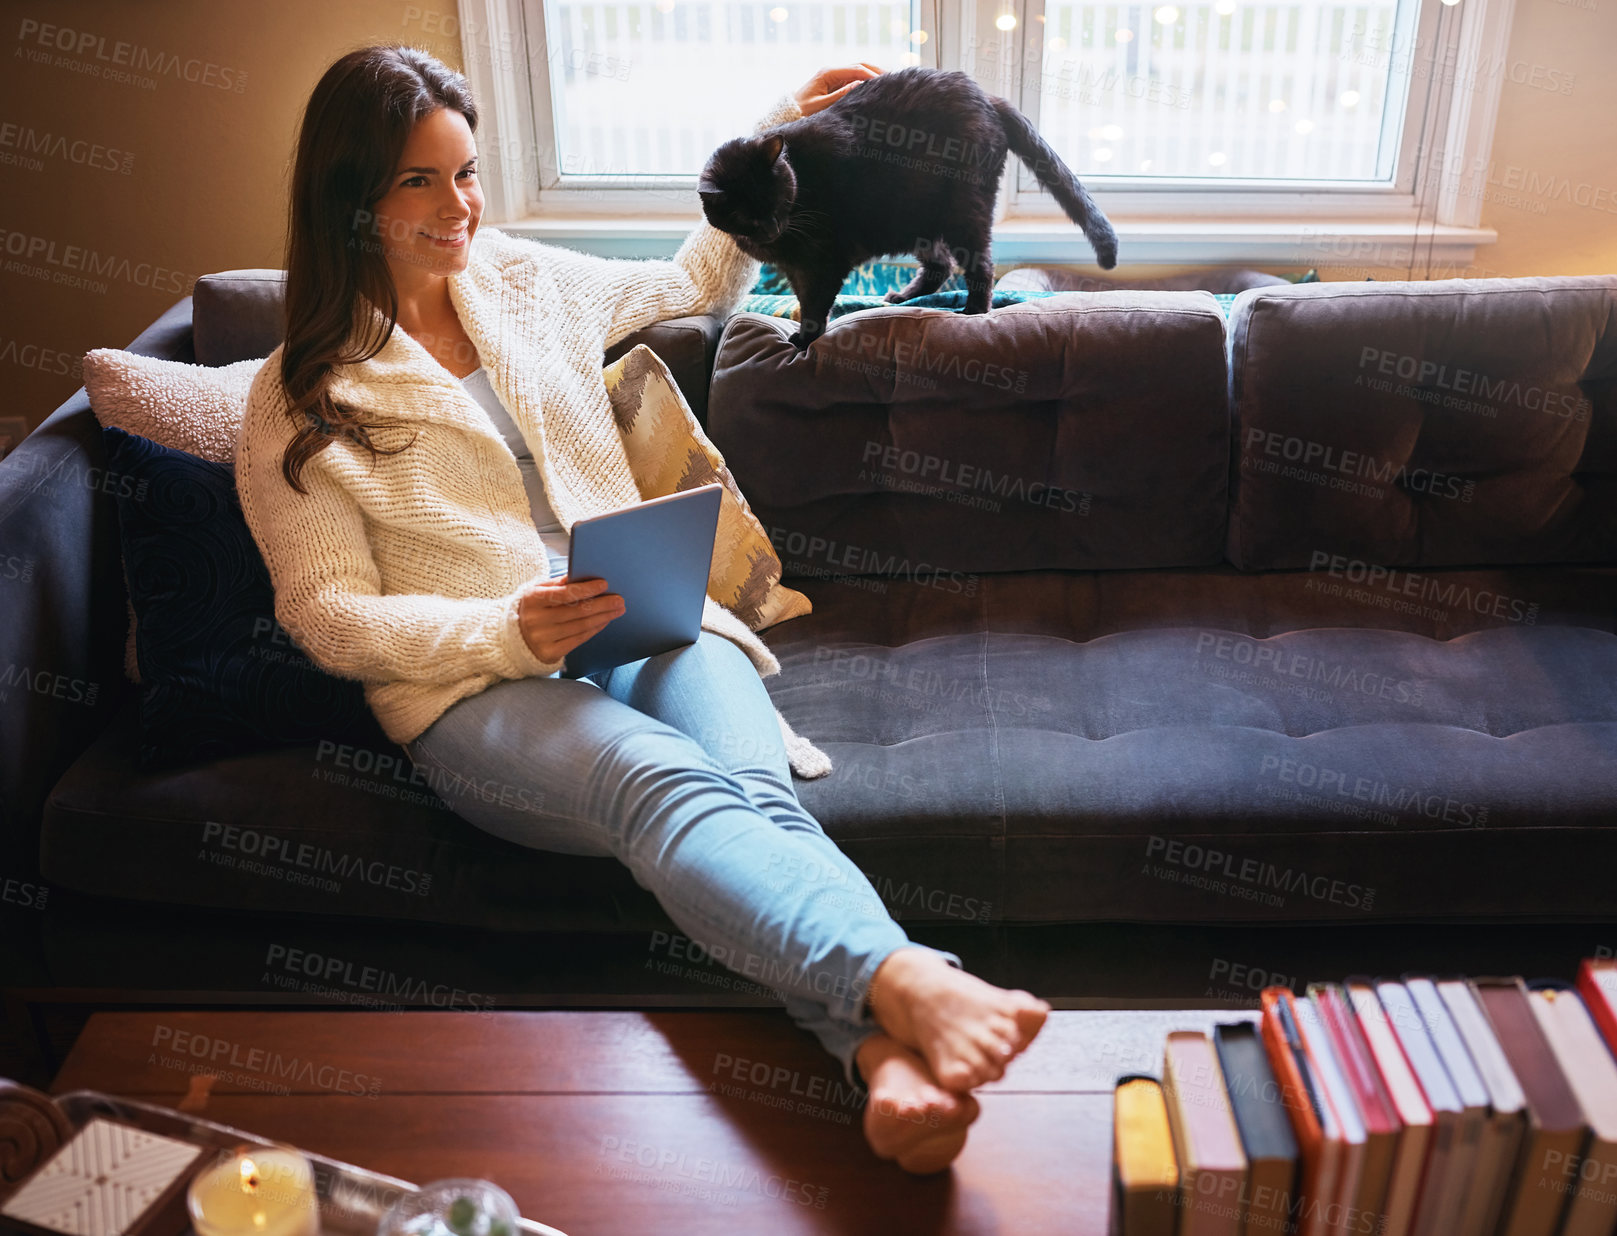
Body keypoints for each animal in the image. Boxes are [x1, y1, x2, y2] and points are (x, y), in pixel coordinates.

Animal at [701, 67, 1118, 349]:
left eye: (777, 197)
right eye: (744, 214)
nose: (772, 227)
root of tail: (986, 97)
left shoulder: (823, 262)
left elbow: (816, 304)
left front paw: (804, 341)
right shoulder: (795, 268)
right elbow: (804, 301)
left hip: (963, 212)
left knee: (979, 265)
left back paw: (973, 312)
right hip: (915, 217)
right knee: (939, 267)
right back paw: (902, 298)